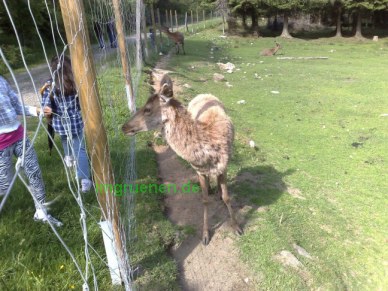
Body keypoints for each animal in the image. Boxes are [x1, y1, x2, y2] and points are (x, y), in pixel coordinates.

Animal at [122, 74, 242, 245]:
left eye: (147, 109)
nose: (124, 127)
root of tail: (204, 93)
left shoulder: (224, 165)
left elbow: (226, 197)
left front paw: (237, 227)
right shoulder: (199, 171)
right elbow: (205, 199)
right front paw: (205, 235)